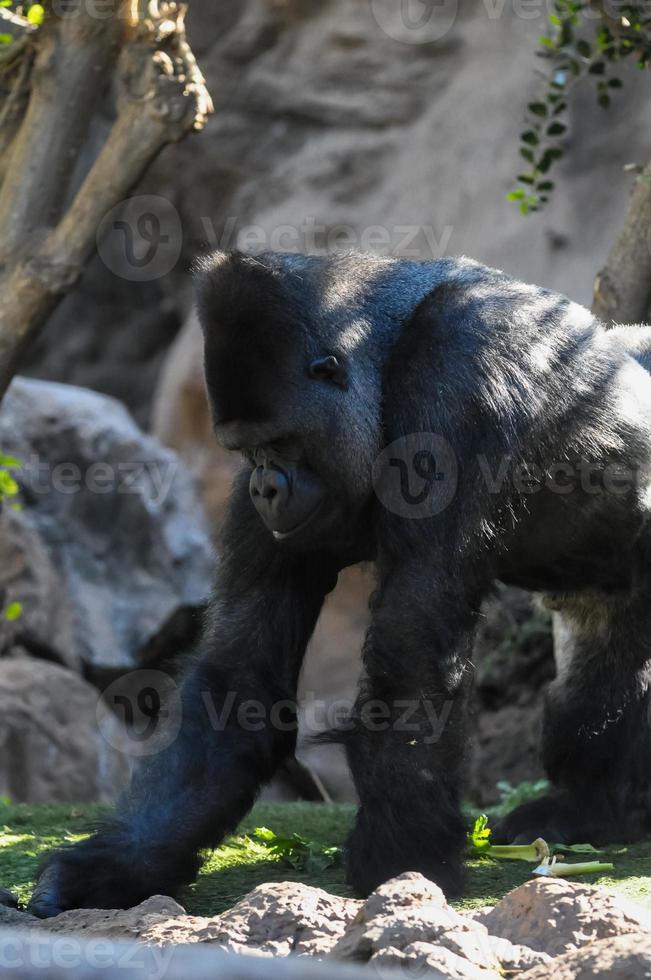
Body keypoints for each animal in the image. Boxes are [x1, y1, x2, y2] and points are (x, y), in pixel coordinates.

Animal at [28, 249, 651, 916]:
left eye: (281, 442)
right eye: (246, 451)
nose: (266, 487)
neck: (387, 349)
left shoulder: (463, 370)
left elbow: (412, 641)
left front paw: (403, 855)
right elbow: (240, 669)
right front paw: (120, 864)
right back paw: (592, 808)